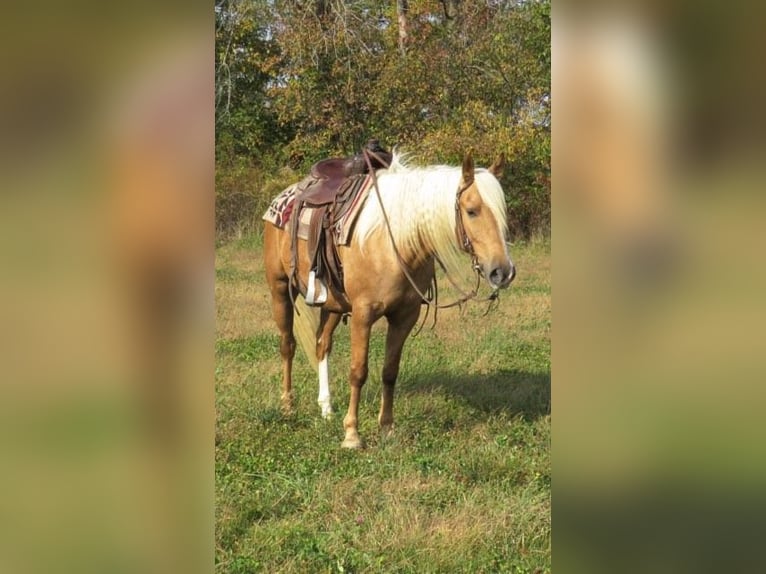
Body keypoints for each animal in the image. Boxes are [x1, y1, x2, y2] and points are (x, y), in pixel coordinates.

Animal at [264, 153, 516, 450]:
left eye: (502, 211)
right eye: (472, 210)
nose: (503, 272)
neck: (393, 242)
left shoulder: (404, 317)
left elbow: (389, 371)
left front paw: (387, 427)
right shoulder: (363, 315)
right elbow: (358, 371)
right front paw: (352, 434)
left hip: (333, 304)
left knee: (321, 345)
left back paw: (326, 407)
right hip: (280, 289)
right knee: (287, 345)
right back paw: (287, 405)